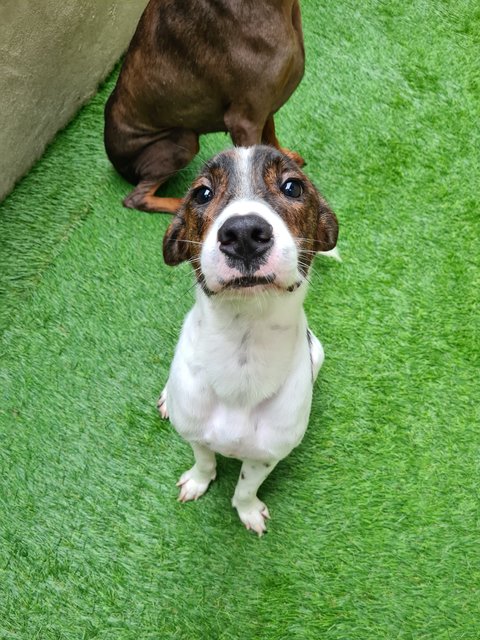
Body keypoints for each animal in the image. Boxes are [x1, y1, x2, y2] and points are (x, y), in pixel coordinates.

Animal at [104, 0, 304, 215]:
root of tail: (117, 163)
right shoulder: (244, 119)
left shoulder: (263, 105)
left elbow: (270, 136)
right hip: (182, 139)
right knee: (136, 198)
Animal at [158, 146, 338, 536]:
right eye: (202, 193)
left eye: (292, 187)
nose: (242, 232)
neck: (242, 353)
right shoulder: (194, 432)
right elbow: (204, 460)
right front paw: (198, 481)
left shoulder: (267, 455)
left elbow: (245, 487)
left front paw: (248, 510)